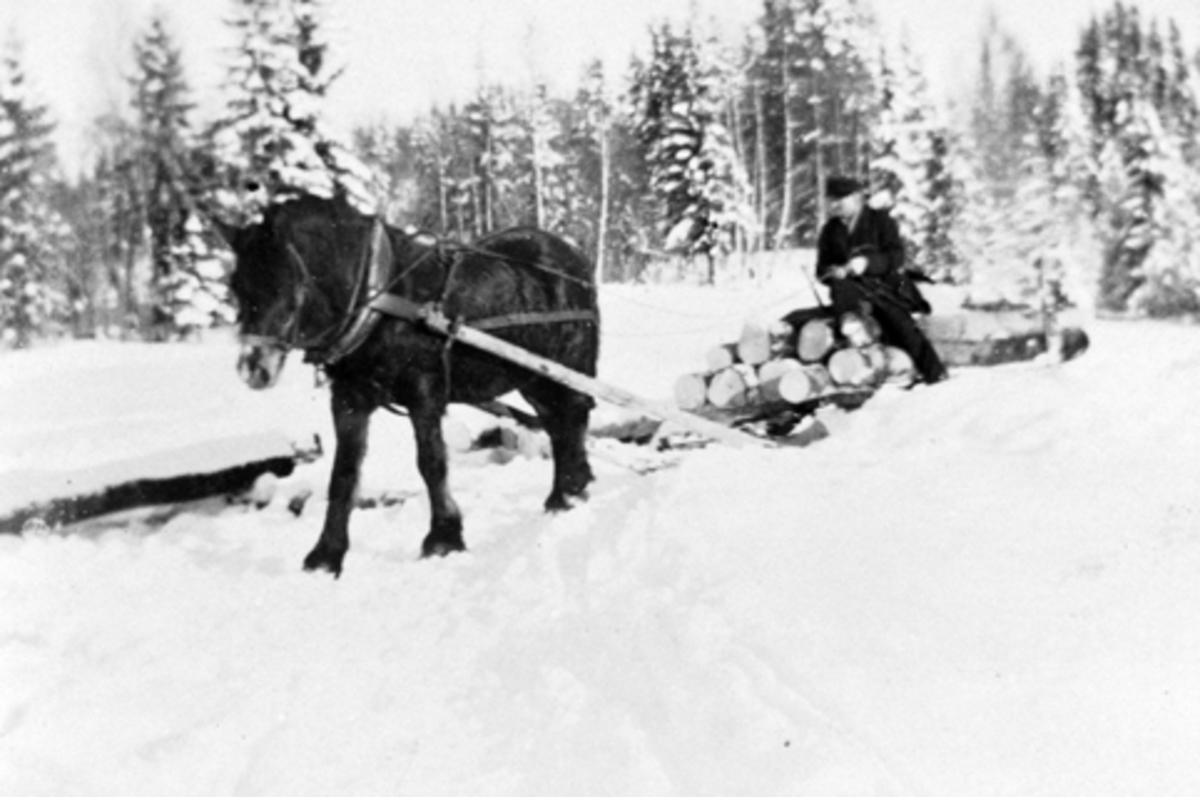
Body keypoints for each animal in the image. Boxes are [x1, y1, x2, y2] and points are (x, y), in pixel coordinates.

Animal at [217, 195, 600, 576]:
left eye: (286, 284)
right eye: (236, 287)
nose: (253, 368)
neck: (380, 302)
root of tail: (574, 255)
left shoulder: (424, 392)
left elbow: (431, 462)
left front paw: (443, 538)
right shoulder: (349, 399)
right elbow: (343, 474)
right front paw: (326, 556)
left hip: (568, 365)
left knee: (574, 415)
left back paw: (570, 491)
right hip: (534, 377)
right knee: (558, 425)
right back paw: (565, 492)